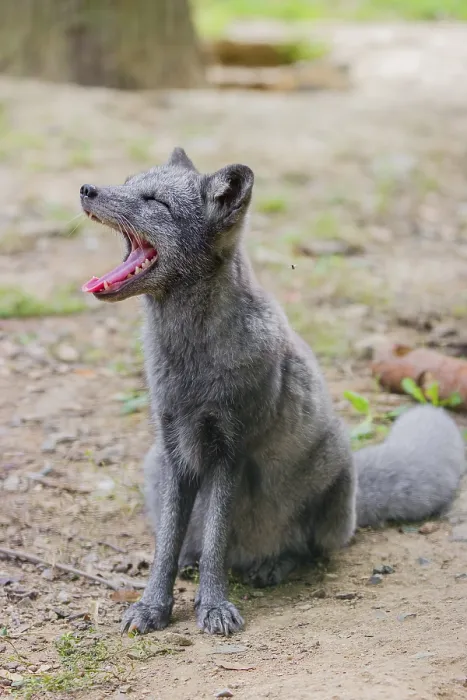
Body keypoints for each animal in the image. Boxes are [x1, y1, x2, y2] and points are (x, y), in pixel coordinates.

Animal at [80, 147, 465, 636]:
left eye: (154, 202)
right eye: (128, 182)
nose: (86, 189)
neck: (191, 360)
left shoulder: (229, 449)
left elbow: (217, 542)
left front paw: (213, 606)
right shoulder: (176, 450)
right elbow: (165, 546)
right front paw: (152, 606)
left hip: (333, 472)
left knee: (307, 550)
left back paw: (274, 565)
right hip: (153, 466)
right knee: (191, 545)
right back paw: (194, 561)